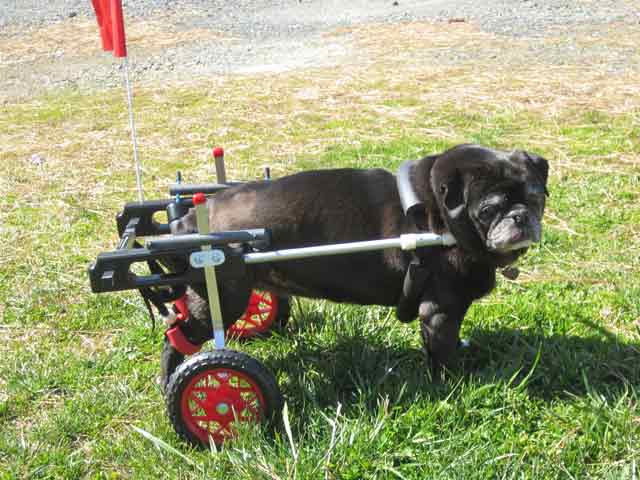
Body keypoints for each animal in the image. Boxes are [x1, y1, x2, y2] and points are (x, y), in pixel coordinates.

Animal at [171, 144, 552, 376]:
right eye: (487, 211)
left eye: (537, 199)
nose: (521, 216)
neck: (440, 215)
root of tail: (188, 221)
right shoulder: (440, 311)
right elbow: (442, 354)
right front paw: (454, 383)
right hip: (220, 300)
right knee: (179, 337)